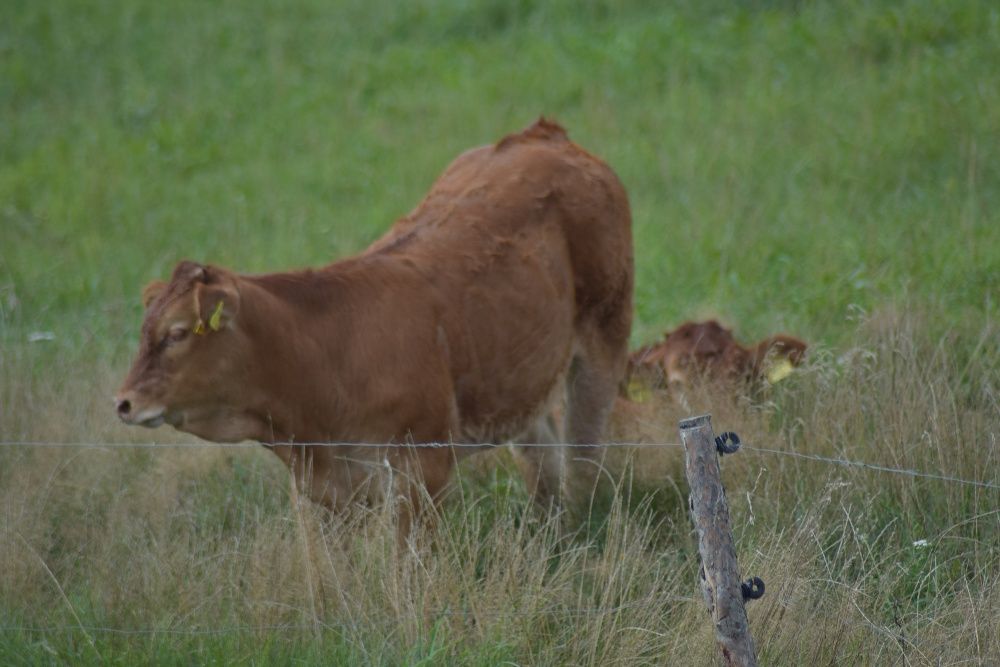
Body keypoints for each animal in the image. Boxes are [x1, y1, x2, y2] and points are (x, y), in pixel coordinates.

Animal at [115, 117, 632, 528]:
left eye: (177, 333)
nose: (123, 403)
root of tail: (540, 135)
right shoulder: (318, 489)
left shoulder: (422, 472)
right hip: (521, 374)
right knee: (543, 458)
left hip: (604, 340)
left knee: (584, 458)